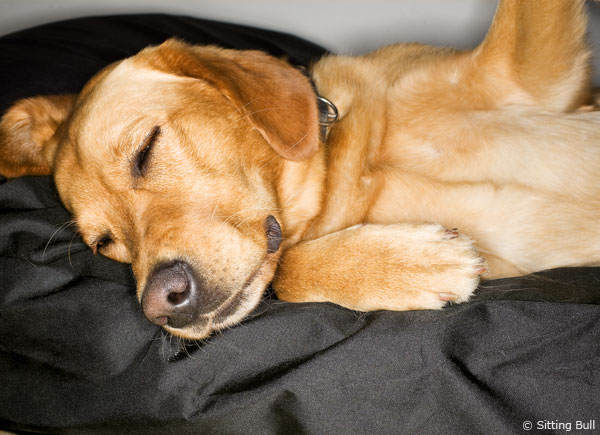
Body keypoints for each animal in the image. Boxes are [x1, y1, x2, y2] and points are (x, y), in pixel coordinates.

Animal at [1, 0, 600, 340]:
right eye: (104, 244)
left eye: (146, 149)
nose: (162, 304)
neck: (351, 167)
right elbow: (286, 270)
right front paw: (410, 264)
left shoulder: (531, 73)